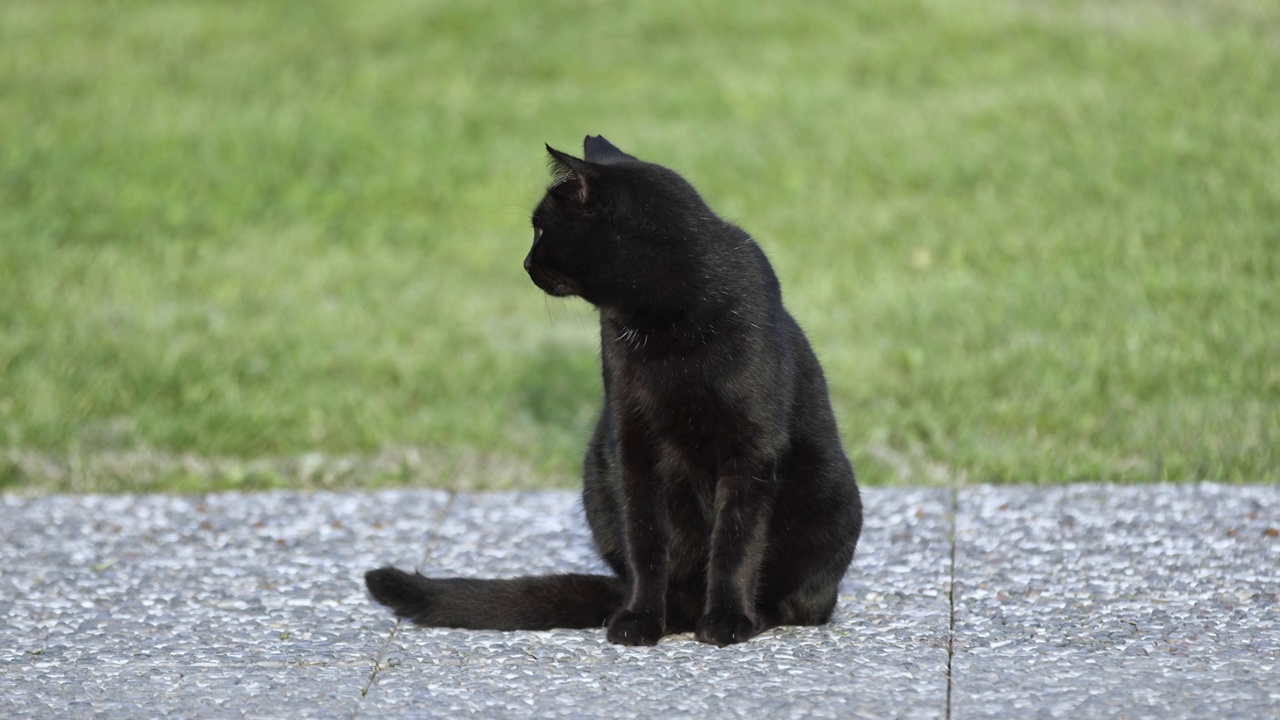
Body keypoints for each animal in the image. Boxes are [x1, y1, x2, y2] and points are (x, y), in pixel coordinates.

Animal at [366, 134, 860, 645]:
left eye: (540, 230)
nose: (525, 262)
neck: (664, 322)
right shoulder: (630, 442)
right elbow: (644, 541)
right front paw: (639, 619)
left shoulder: (750, 450)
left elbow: (735, 545)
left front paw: (727, 620)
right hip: (597, 476)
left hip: (830, 496)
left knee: (803, 601)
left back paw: (751, 615)